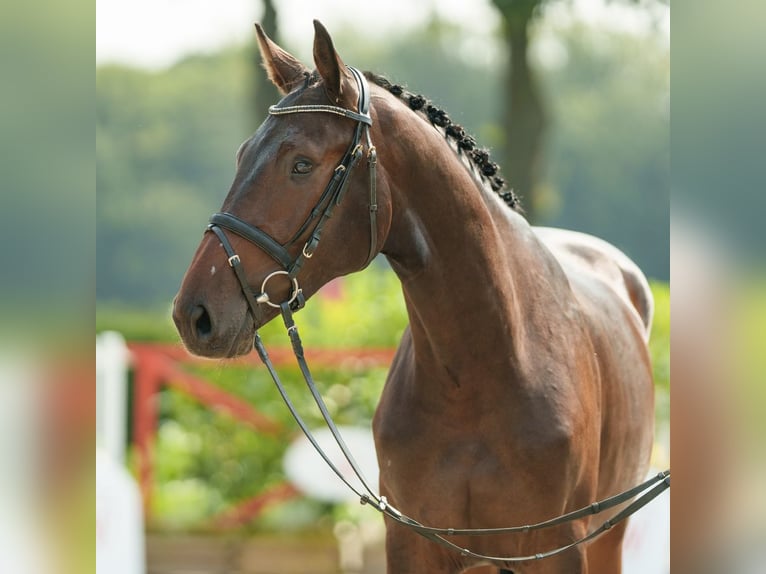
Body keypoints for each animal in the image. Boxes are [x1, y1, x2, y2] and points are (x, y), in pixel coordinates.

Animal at [172, 20, 656, 572]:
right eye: (241, 155)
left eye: (301, 164)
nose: (194, 314)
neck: (481, 370)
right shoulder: (411, 542)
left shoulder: (560, 550)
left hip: (606, 542)